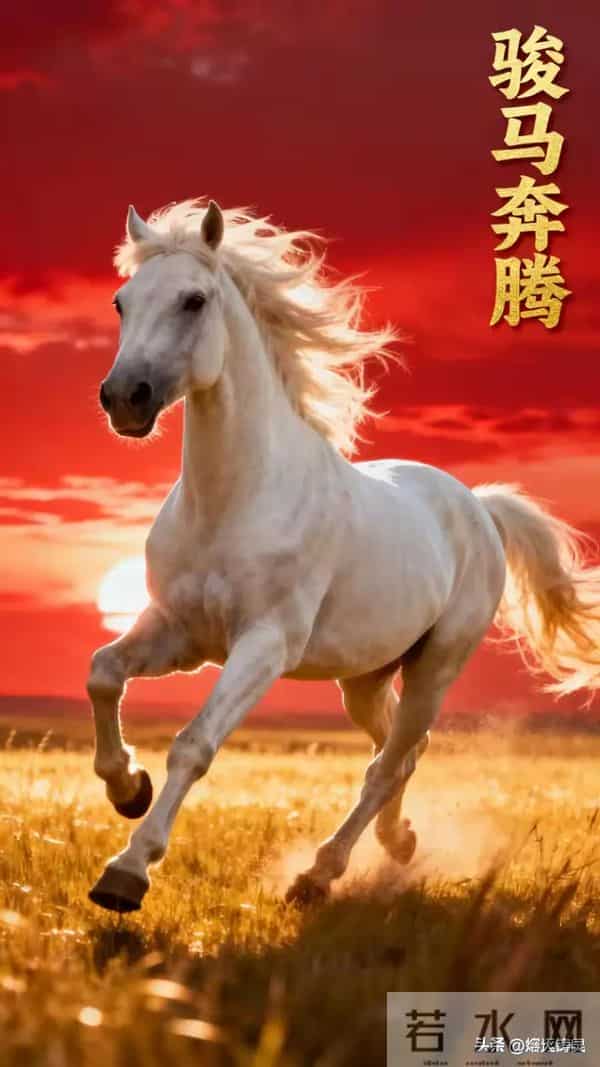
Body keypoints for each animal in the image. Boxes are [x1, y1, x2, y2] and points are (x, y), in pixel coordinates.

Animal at [88, 198, 600, 913]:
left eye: (194, 300)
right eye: (121, 301)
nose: (123, 398)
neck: (234, 499)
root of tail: (477, 506)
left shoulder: (264, 645)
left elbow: (193, 745)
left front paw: (127, 872)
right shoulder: (179, 632)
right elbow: (103, 672)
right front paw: (126, 789)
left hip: (436, 667)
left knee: (389, 761)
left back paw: (319, 874)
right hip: (365, 678)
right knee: (398, 752)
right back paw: (398, 842)